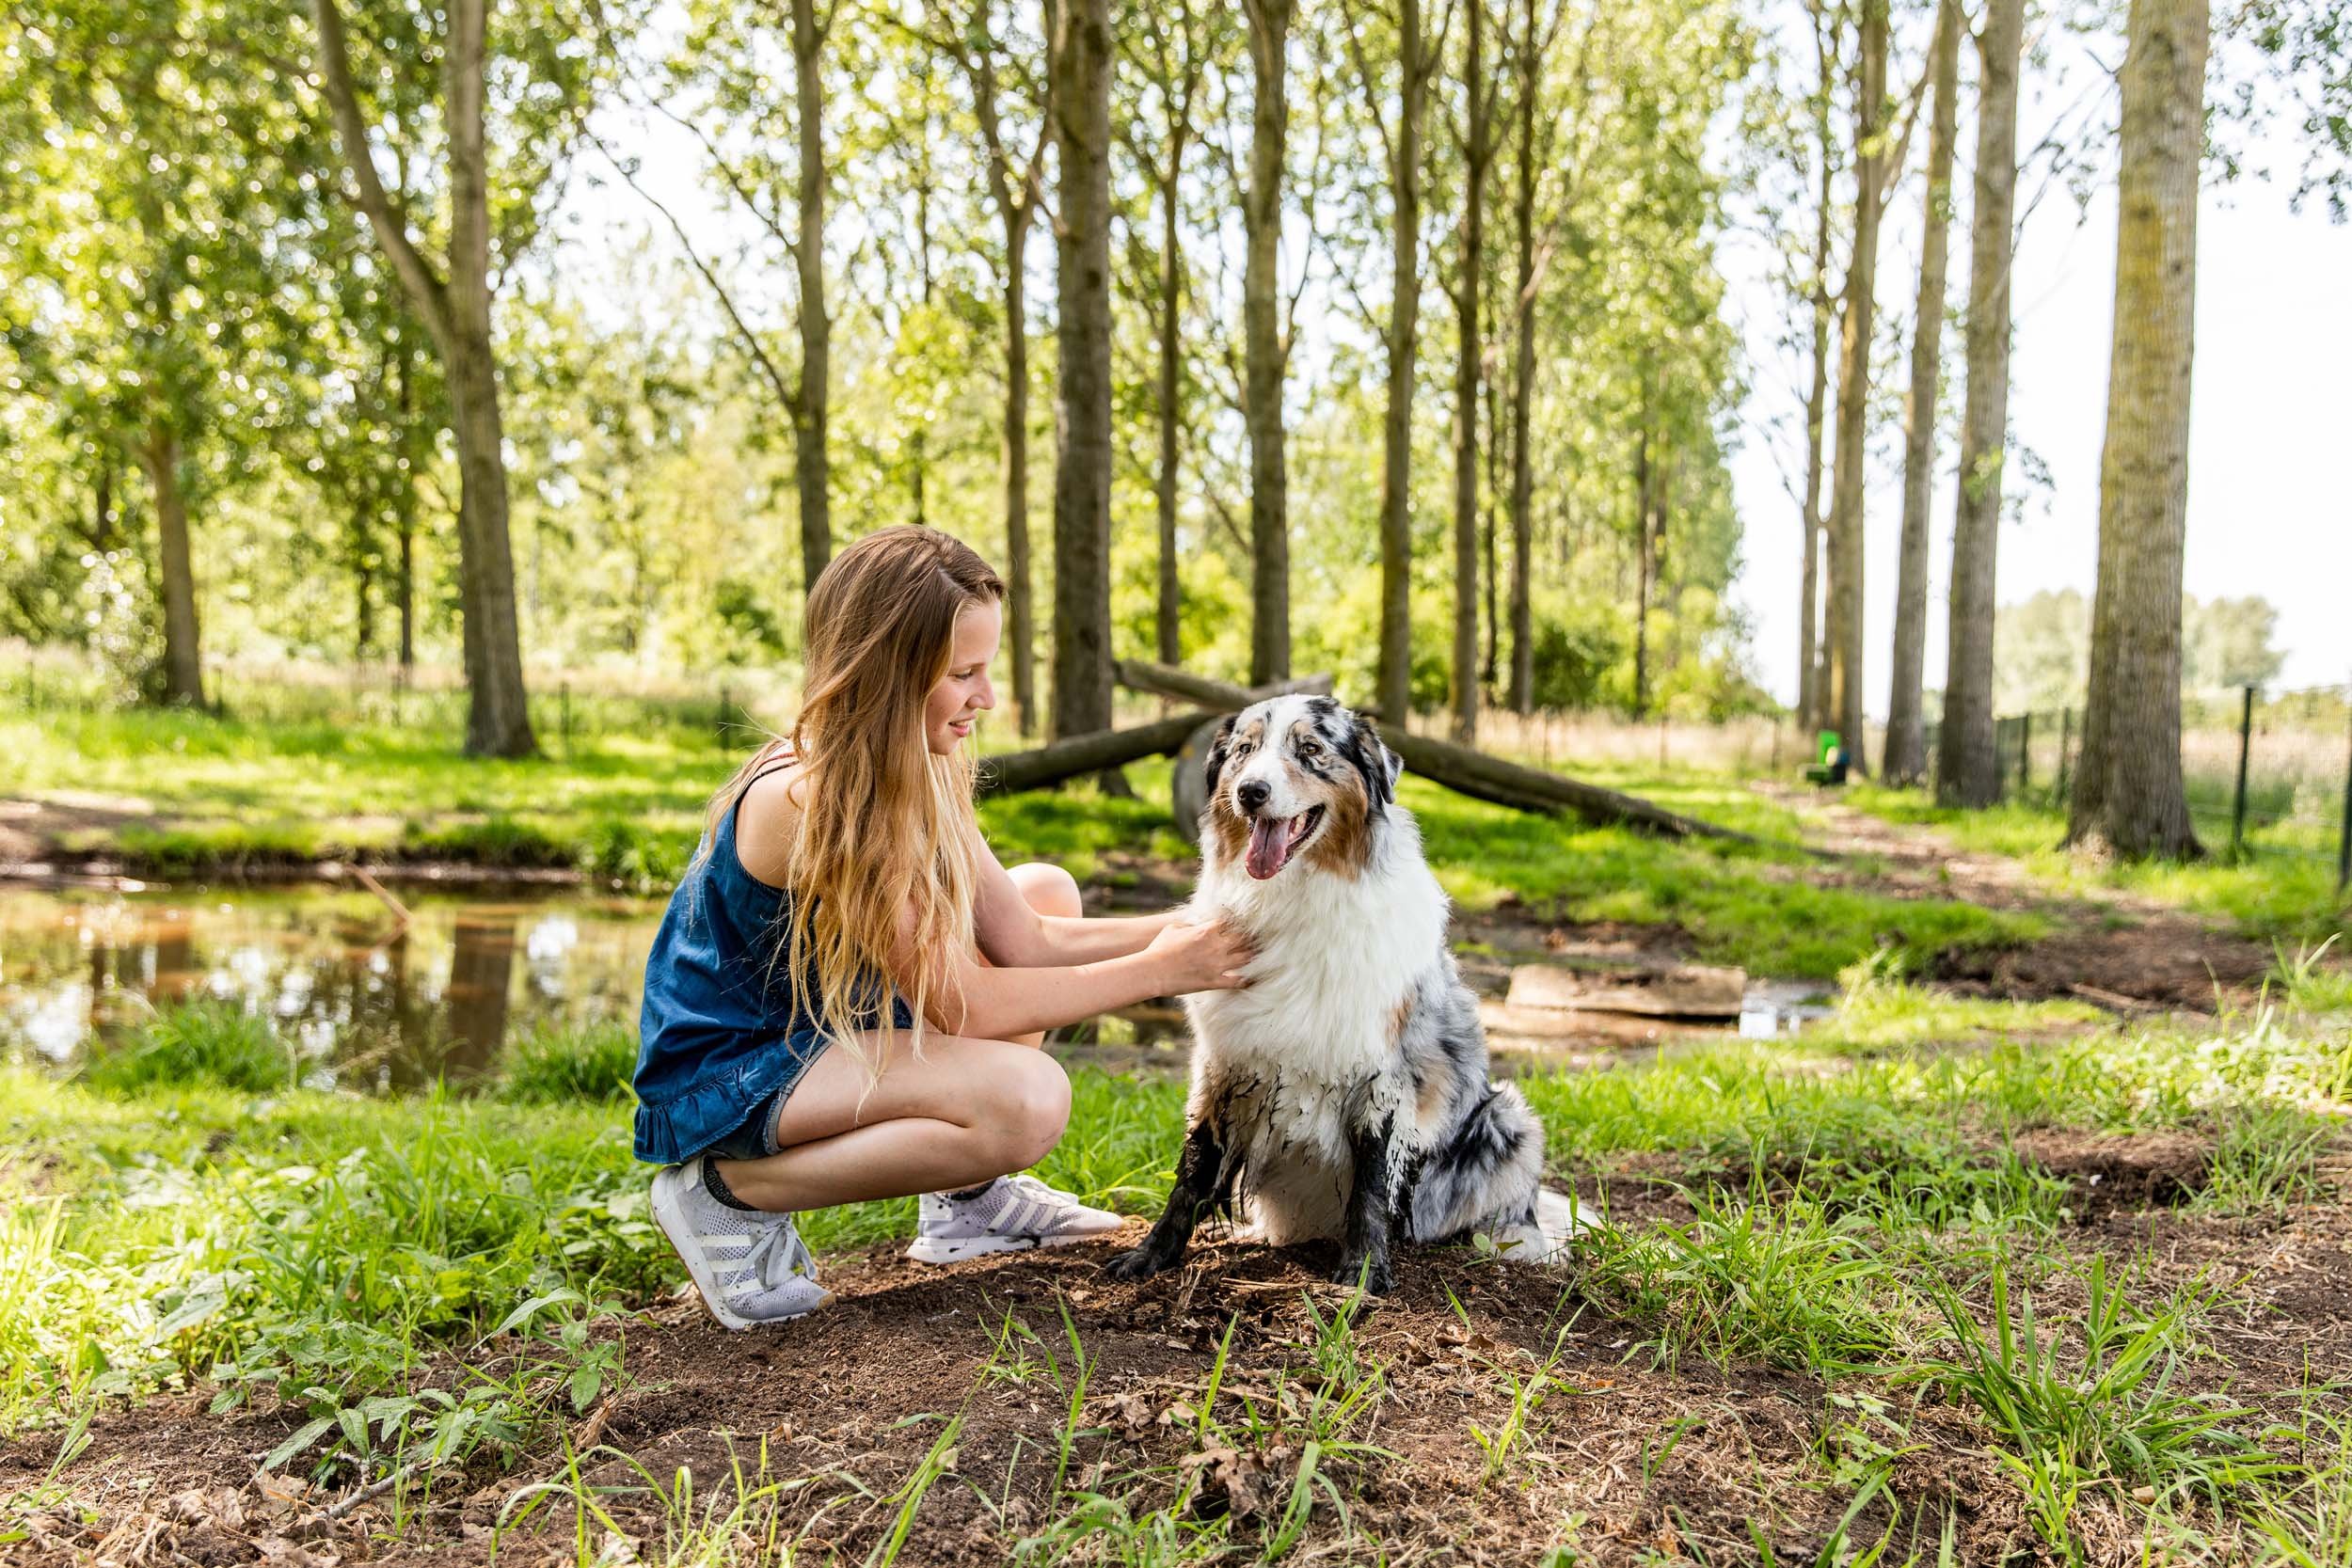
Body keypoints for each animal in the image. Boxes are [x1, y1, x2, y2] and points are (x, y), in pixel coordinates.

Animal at [1101, 690, 1581, 1297]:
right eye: (1244, 751)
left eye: (1310, 750)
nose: (1250, 792)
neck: (1297, 897)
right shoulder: (1223, 1063)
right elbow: (1193, 1166)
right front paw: (1151, 1255)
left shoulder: (1386, 1077)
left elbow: (1371, 1186)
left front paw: (1364, 1272)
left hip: (1510, 1115)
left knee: (1514, 1209)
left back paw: (1508, 1241)